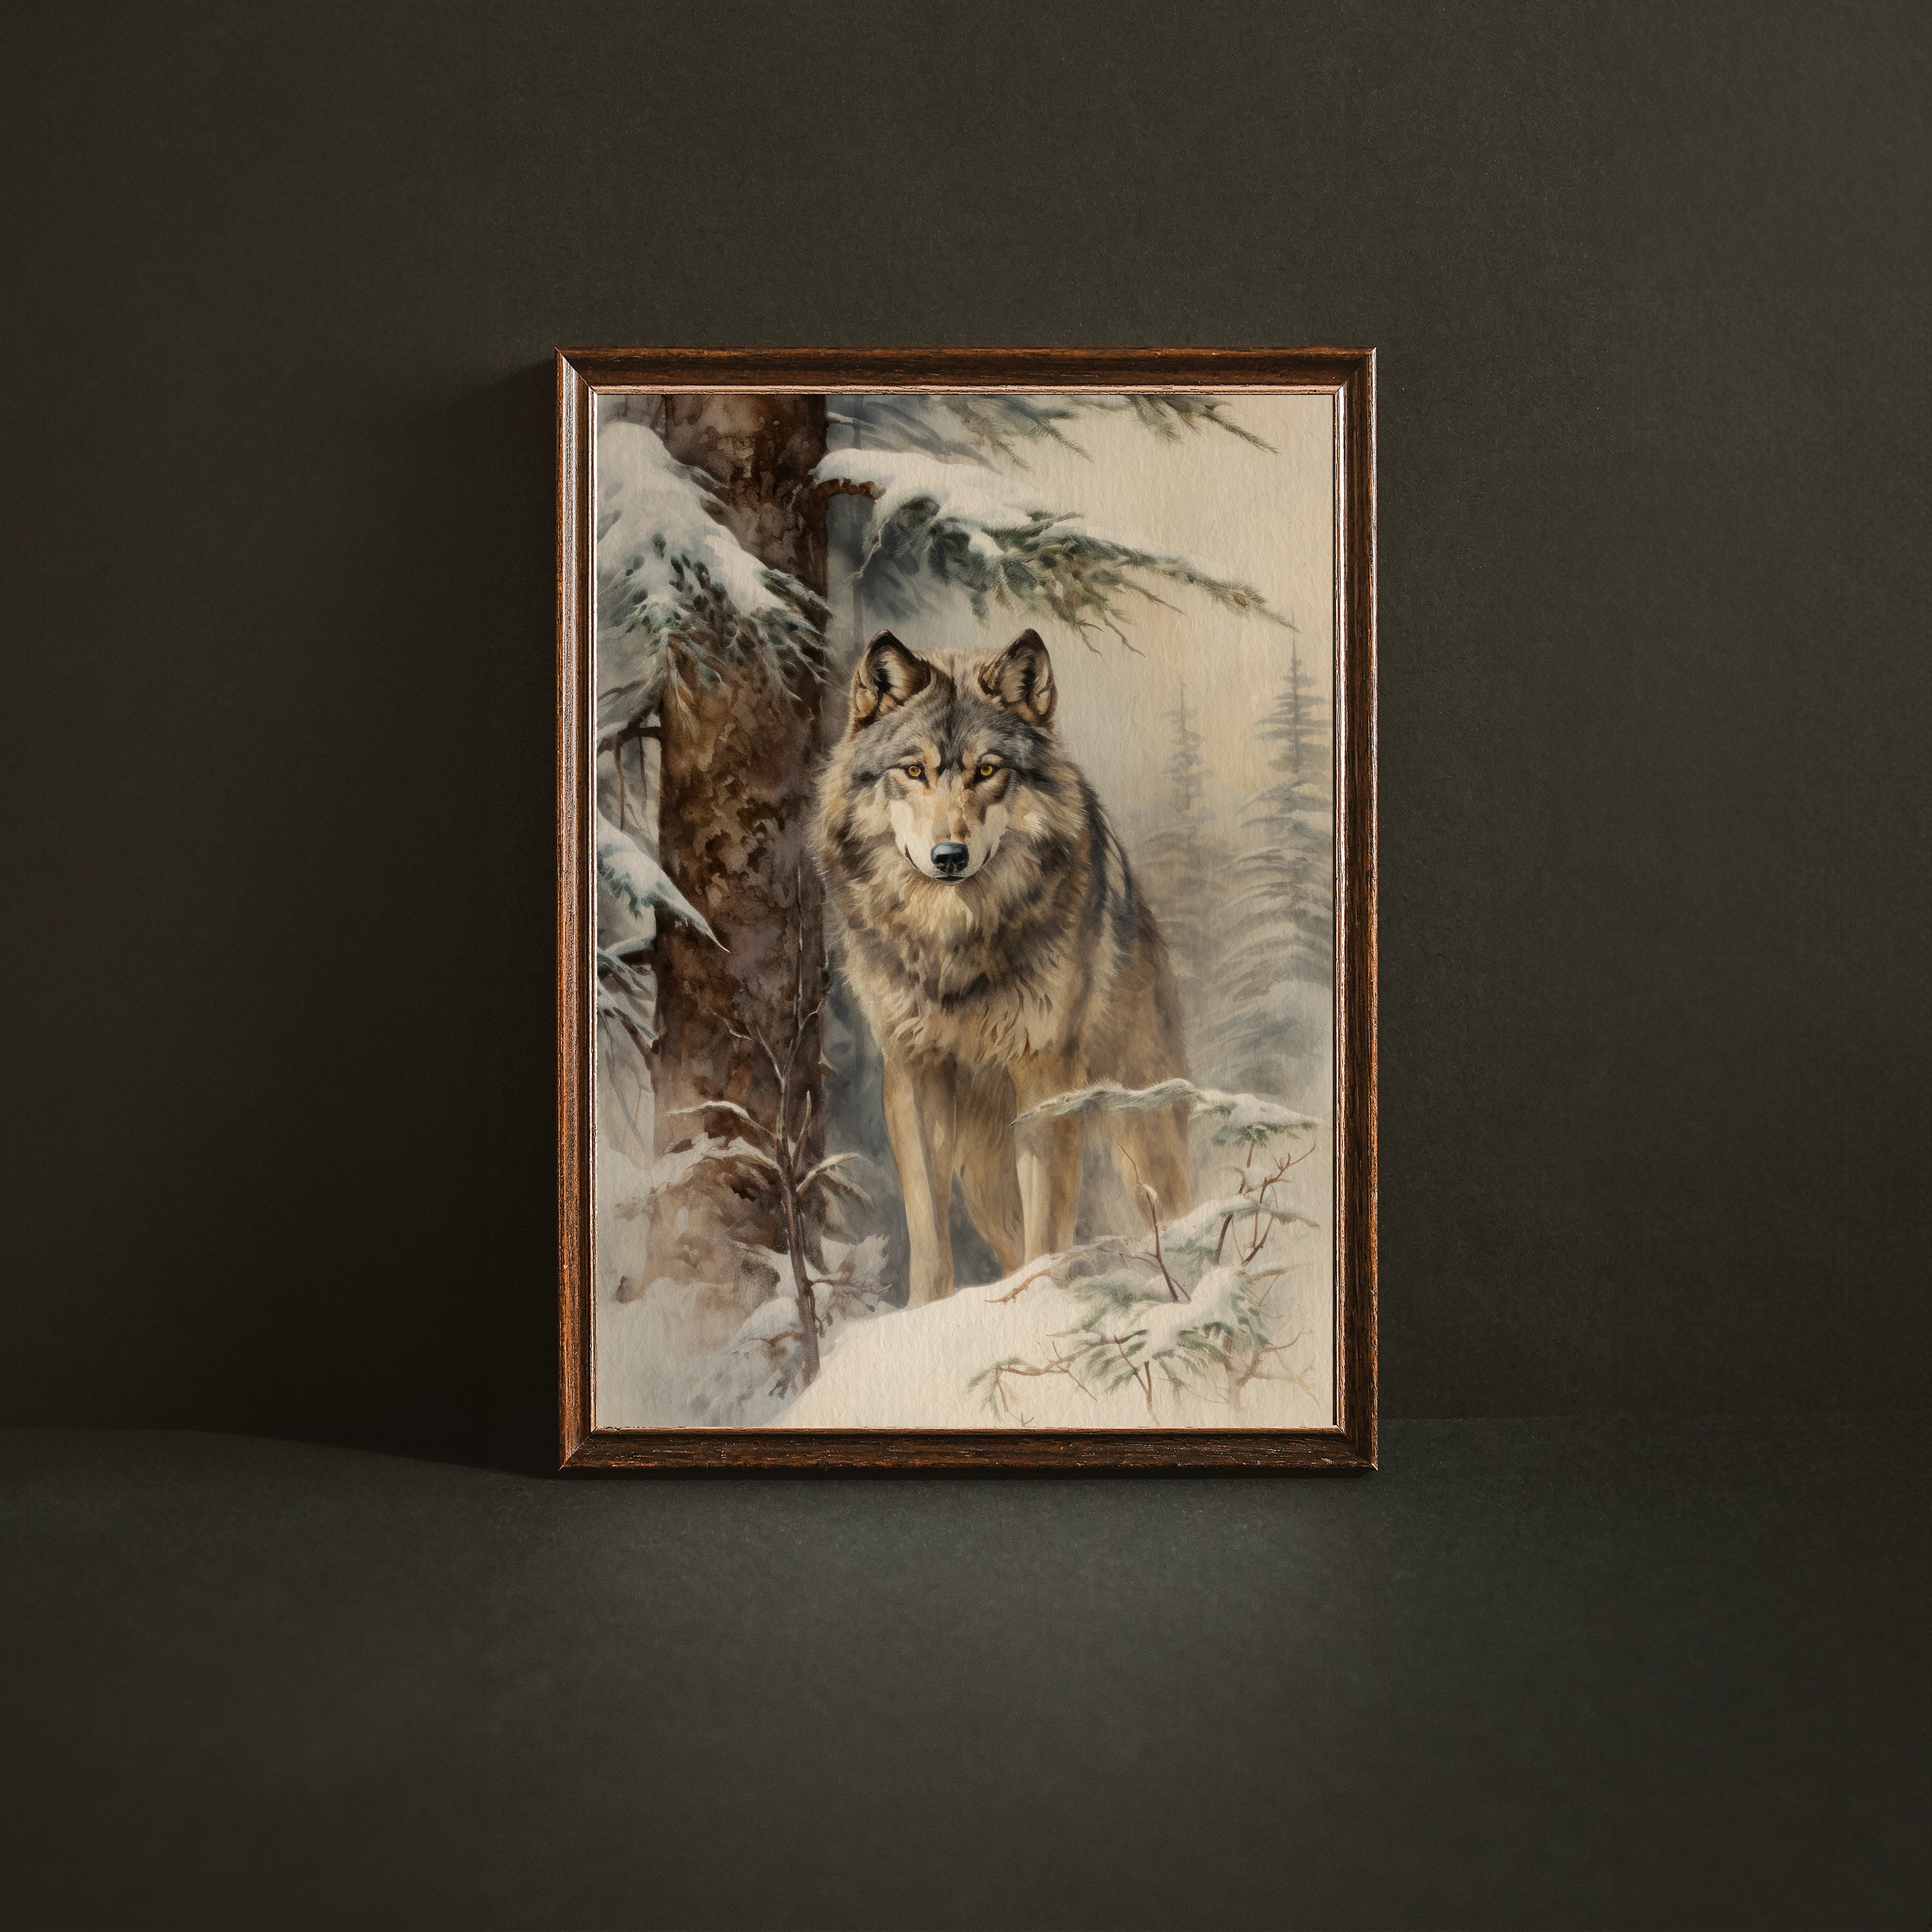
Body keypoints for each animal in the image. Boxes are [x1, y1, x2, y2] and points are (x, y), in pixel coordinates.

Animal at [813, 628, 1193, 1307]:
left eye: (987, 770)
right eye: (914, 770)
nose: (949, 856)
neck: (954, 945)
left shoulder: (1046, 1072)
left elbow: (1049, 1227)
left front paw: (1042, 1305)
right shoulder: (914, 1073)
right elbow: (928, 1233)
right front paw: (925, 1315)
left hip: (1141, 1125)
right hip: (983, 1177)